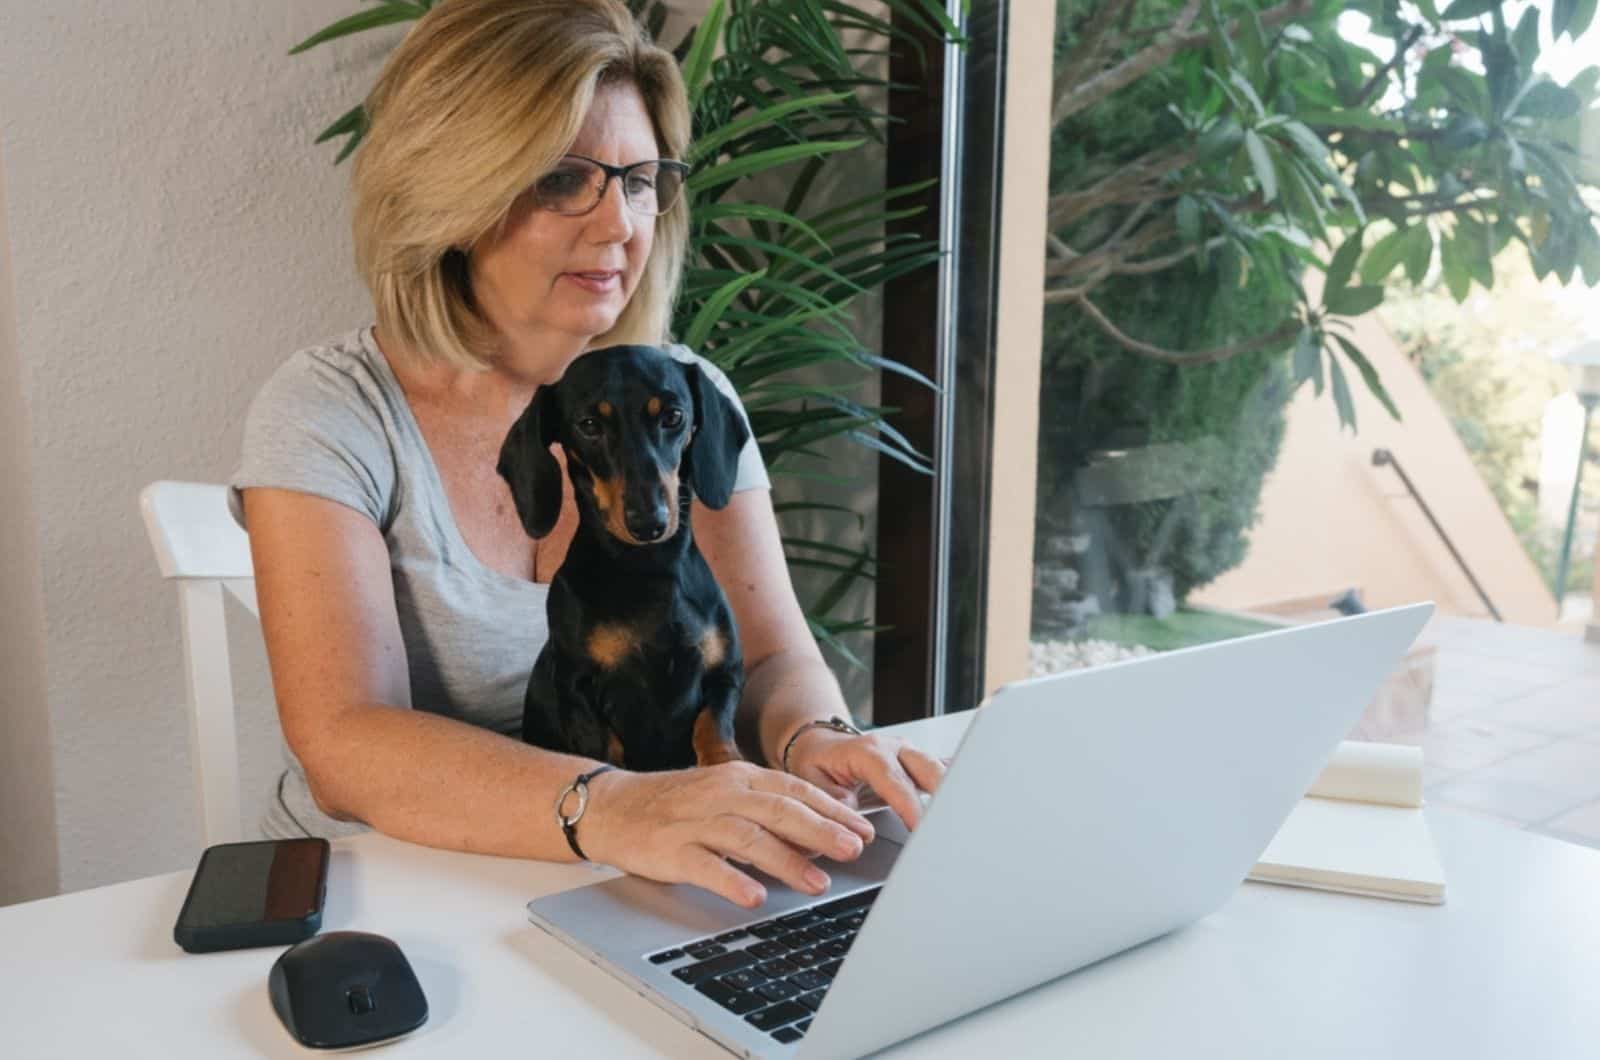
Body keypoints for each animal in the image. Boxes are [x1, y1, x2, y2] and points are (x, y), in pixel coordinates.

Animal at [499, 347, 748, 771]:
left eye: (673, 416)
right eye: (588, 425)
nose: (649, 522)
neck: (650, 569)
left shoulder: (725, 674)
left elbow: (714, 728)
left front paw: (728, 763)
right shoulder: (579, 688)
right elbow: (608, 753)